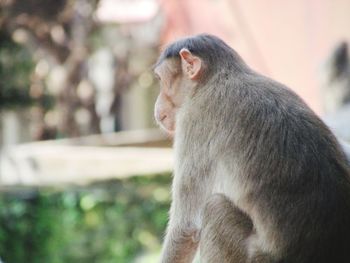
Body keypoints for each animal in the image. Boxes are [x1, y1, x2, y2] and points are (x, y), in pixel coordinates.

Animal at [154, 35, 350, 263]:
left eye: (162, 81)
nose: (157, 105)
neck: (214, 78)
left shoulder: (193, 120)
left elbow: (185, 228)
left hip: (253, 257)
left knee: (215, 208)